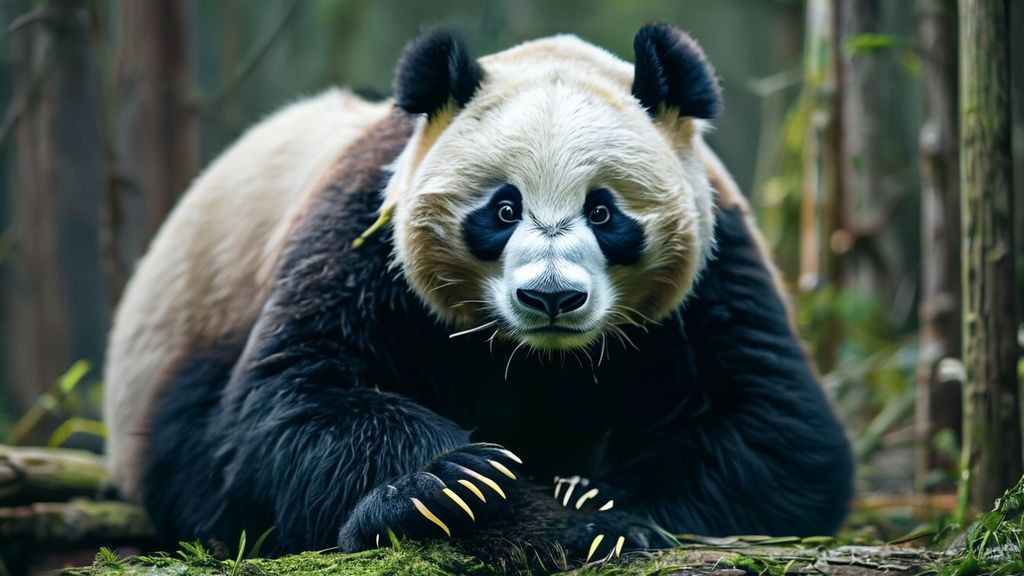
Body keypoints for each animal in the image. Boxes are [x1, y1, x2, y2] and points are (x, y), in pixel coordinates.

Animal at [104, 24, 853, 565]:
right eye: (503, 208)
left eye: (603, 211)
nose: (551, 298)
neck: (539, 357)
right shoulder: (364, 241)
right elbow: (289, 407)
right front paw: (453, 488)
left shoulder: (713, 273)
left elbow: (776, 433)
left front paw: (600, 508)